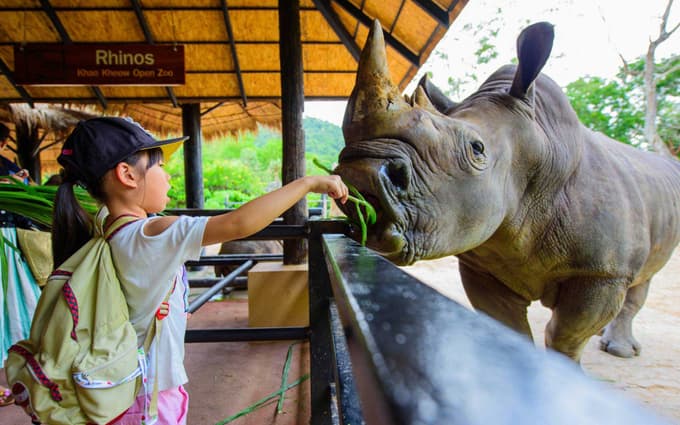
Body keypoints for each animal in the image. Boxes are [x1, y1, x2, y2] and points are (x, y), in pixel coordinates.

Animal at [334, 20, 680, 362]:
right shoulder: (482, 265)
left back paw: (620, 350)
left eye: (477, 148)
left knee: (644, 277)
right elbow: (510, 326)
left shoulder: (602, 272)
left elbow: (565, 336)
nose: (360, 174)